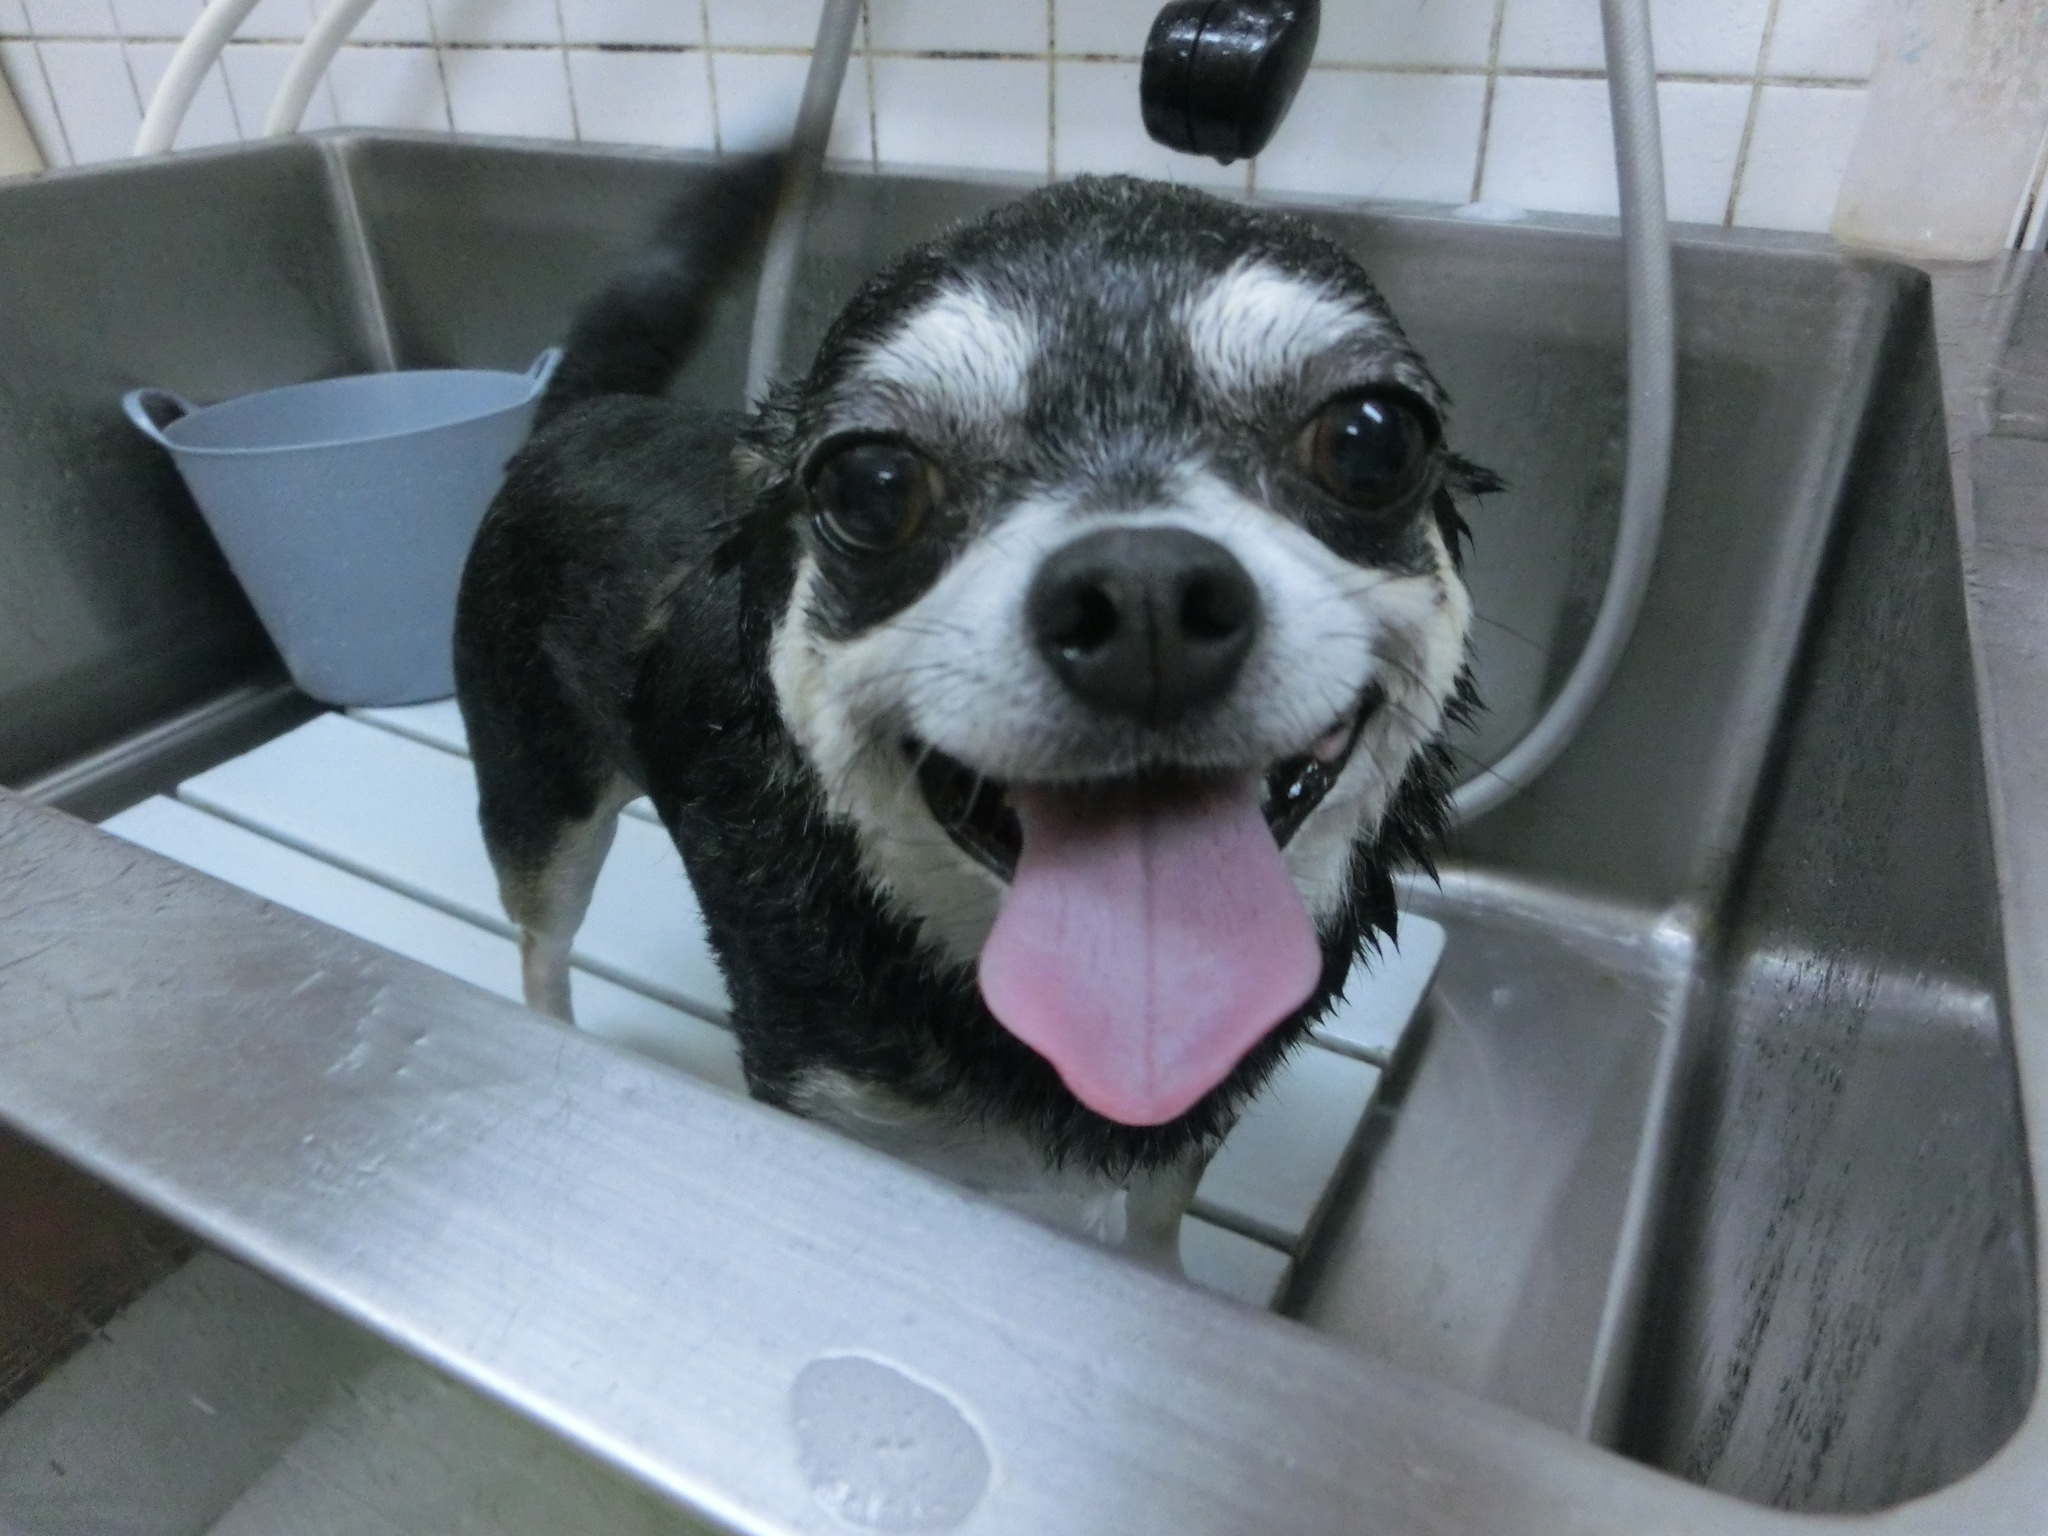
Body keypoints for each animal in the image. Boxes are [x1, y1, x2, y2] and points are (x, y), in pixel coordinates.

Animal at [454, 156, 1493, 1270]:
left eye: (1371, 440)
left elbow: (1159, 1205)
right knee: (541, 944)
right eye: (871, 486)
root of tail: (588, 410)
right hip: (540, 804)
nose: (1145, 596)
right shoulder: (834, 1112)